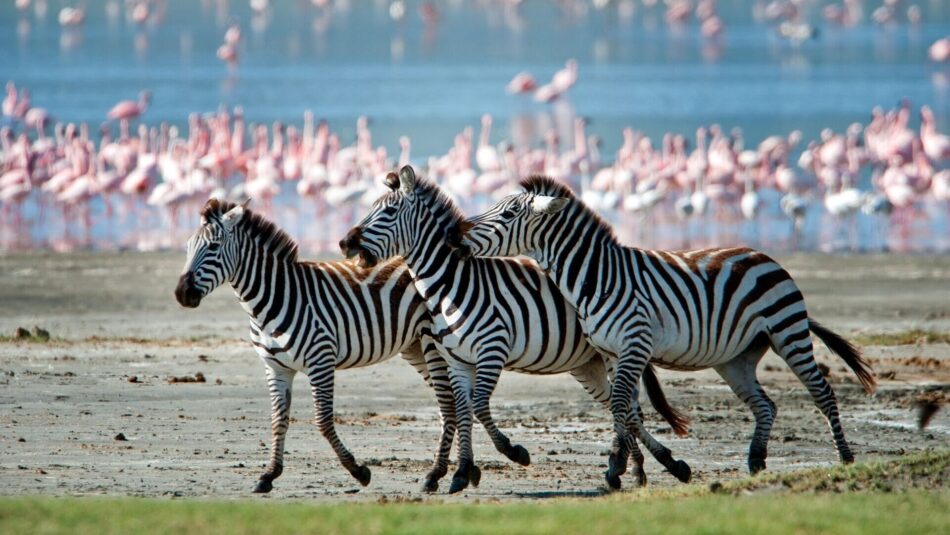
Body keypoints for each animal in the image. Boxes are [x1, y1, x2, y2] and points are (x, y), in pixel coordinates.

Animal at [174, 198, 684, 494]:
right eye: (187, 248)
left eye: (212, 249)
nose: (181, 294)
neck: (276, 297)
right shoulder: (275, 367)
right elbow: (278, 420)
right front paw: (267, 476)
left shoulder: (320, 358)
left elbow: (321, 420)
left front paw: (358, 471)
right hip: (574, 361)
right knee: (623, 405)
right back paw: (637, 470)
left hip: (448, 350)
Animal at [340, 166, 692, 493]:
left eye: (388, 212)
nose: (344, 243)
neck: (452, 284)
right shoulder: (456, 358)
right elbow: (464, 409)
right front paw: (462, 472)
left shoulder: (491, 349)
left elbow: (478, 406)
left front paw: (512, 453)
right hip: (589, 364)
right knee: (623, 407)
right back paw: (634, 469)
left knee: (629, 407)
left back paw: (652, 466)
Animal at [447, 175, 877, 489]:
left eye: (507, 214)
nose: (456, 237)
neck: (596, 276)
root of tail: (763, 256)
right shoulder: (613, 352)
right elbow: (625, 407)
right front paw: (630, 467)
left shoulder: (634, 344)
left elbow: (622, 404)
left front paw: (616, 467)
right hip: (736, 359)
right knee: (766, 405)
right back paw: (756, 460)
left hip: (788, 332)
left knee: (822, 392)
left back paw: (845, 458)